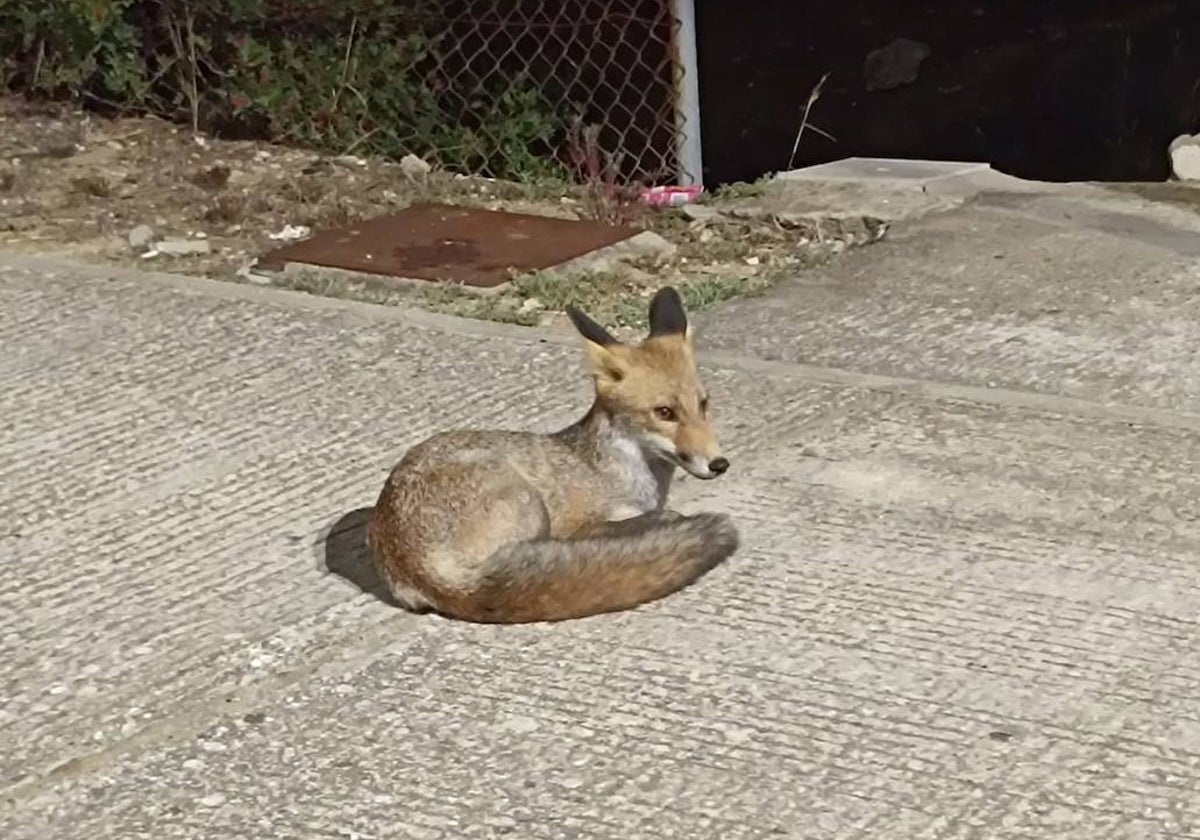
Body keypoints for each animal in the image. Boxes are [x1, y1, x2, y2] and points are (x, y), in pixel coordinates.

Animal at [367, 289, 739, 624]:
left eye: (703, 404)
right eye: (664, 413)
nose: (718, 464)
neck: (619, 473)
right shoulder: (576, 524)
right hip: (530, 505)